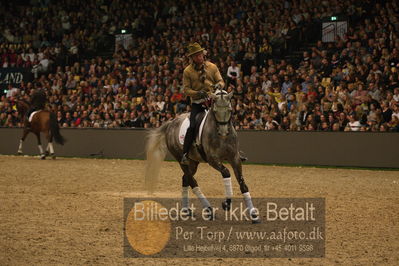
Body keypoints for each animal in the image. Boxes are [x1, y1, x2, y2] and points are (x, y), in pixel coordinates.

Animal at [145, 89, 260, 222]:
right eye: (215, 111)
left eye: (230, 110)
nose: (223, 131)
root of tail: (171, 123)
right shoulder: (213, 160)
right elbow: (226, 173)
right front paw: (226, 203)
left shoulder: (235, 158)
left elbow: (243, 184)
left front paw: (253, 214)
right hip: (181, 160)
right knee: (192, 181)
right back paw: (208, 210)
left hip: (193, 162)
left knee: (185, 179)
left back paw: (186, 210)